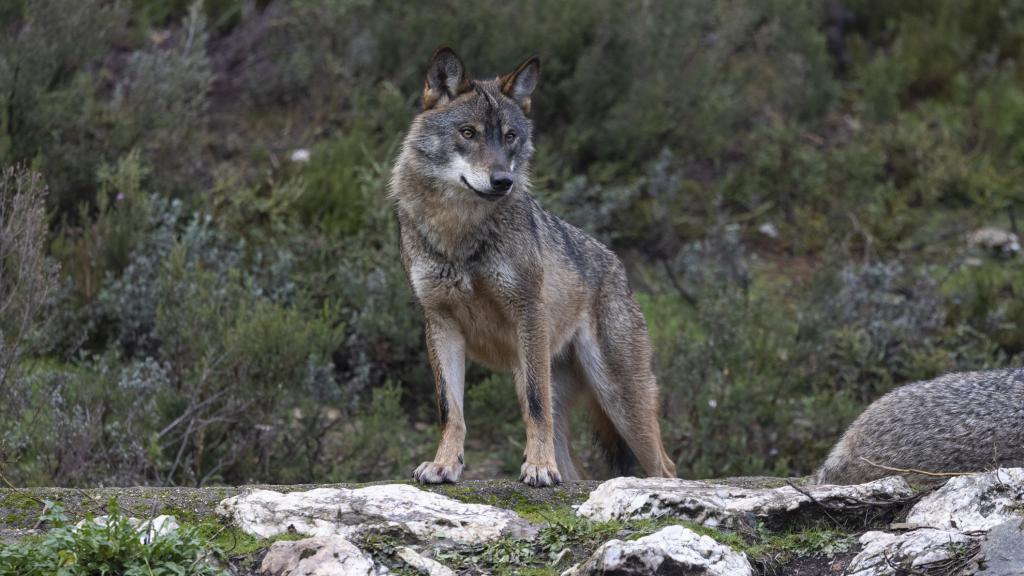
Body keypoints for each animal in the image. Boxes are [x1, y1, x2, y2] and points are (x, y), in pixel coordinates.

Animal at [388, 46, 677, 486]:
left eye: (509, 136)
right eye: (468, 133)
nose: (502, 181)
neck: (459, 232)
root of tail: (617, 266)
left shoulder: (527, 312)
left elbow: (536, 408)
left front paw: (538, 467)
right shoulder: (440, 323)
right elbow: (449, 409)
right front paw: (444, 464)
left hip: (619, 401)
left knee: (665, 465)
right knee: (575, 470)